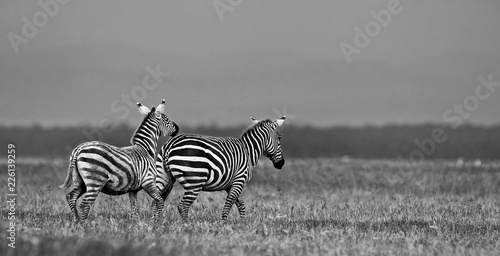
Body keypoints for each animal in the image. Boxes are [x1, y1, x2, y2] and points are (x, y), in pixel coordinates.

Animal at [152, 117, 286, 221]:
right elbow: (229, 203)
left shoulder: (230, 184)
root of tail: (169, 145)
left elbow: (240, 204)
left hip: (165, 178)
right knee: (182, 206)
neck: (248, 151)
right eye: (279, 138)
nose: (282, 163)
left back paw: (155, 225)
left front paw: (243, 223)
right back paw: (187, 226)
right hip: (194, 182)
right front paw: (223, 224)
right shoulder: (239, 180)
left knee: (156, 201)